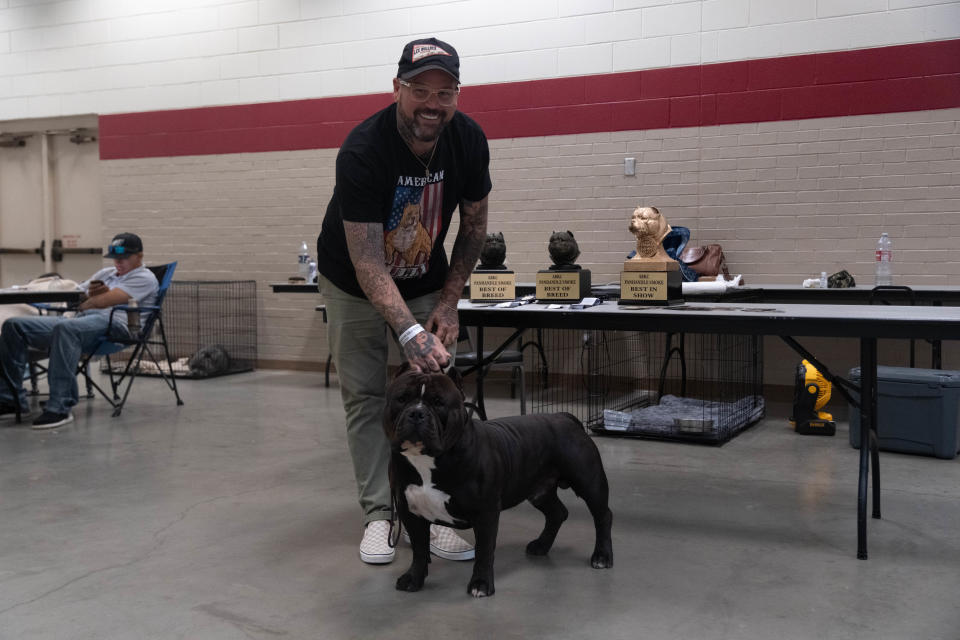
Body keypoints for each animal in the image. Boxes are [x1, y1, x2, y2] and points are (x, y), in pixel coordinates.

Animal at [382, 362, 616, 596]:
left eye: (439, 402)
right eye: (401, 398)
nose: (416, 413)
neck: (427, 460)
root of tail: (566, 416)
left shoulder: (485, 513)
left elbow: (484, 551)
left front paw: (481, 584)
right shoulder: (410, 512)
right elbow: (420, 550)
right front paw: (413, 578)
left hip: (589, 483)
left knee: (602, 516)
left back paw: (602, 556)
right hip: (540, 491)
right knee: (557, 513)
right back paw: (541, 545)